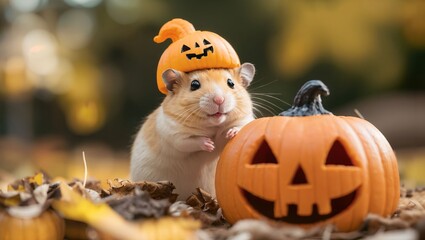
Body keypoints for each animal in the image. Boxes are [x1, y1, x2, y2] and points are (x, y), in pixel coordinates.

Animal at [130, 62, 255, 199]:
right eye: (194, 85)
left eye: (231, 83)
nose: (219, 100)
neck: (214, 126)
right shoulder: (176, 135)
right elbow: (191, 142)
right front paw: (210, 145)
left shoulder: (246, 119)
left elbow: (240, 127)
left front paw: (231, 133)